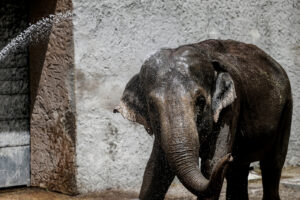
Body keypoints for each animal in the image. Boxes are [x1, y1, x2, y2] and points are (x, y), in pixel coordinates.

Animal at [113, 39, 292, 200]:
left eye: (200, 101)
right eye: (152, 106)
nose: (229, 156)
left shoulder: (230, 108)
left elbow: (211, 165)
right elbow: (155, 171)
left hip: (287, 109)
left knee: (272, 165)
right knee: (238, 171)